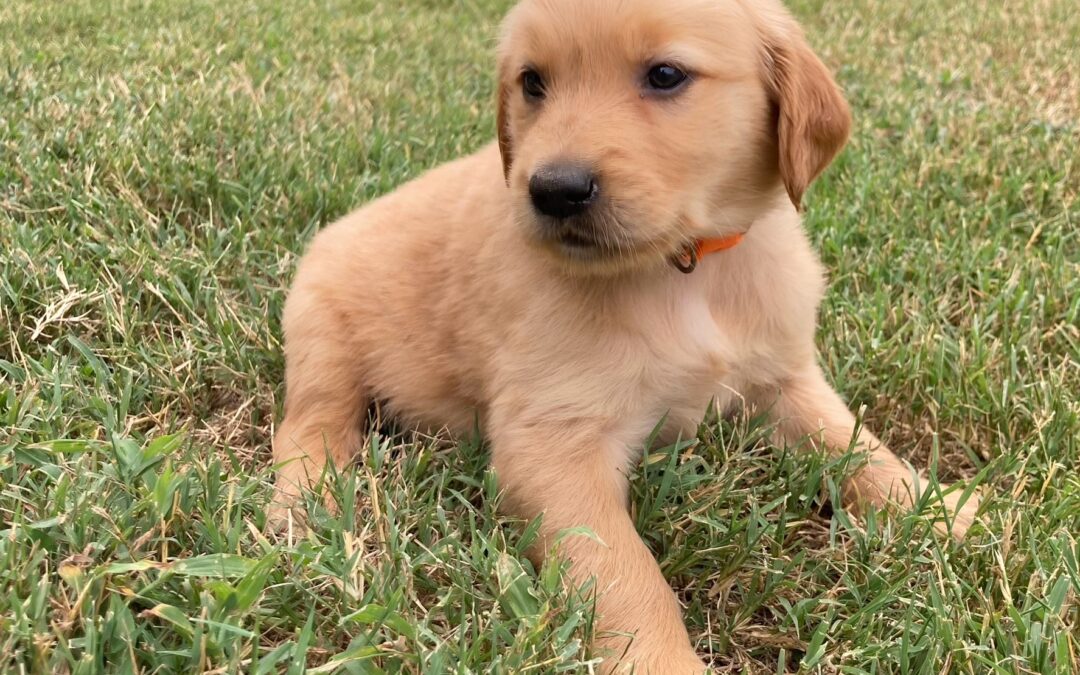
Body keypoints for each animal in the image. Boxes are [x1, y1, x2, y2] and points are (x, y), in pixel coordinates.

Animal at [270, 0, 980, 669]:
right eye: (533, 82)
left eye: (665, 75)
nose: (554, 190)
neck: (685, 269)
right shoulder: (551, 444)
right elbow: (623, 571)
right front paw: (662, 660)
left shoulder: (784, 378)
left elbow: (855, 445)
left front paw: (944, 509)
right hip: (320, 326)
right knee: (310, 425)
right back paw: (307, 504)